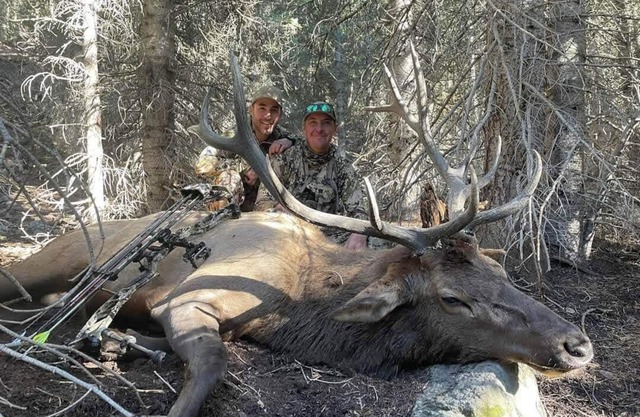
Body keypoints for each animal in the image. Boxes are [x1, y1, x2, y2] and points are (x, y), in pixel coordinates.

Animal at [0, 49, 593, 417]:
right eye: (453, 298)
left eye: (500, 272)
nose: (578, 344)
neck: (299, 303)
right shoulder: (190, 295)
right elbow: (212, 363)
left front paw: (121, 342)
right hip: (57, 256)